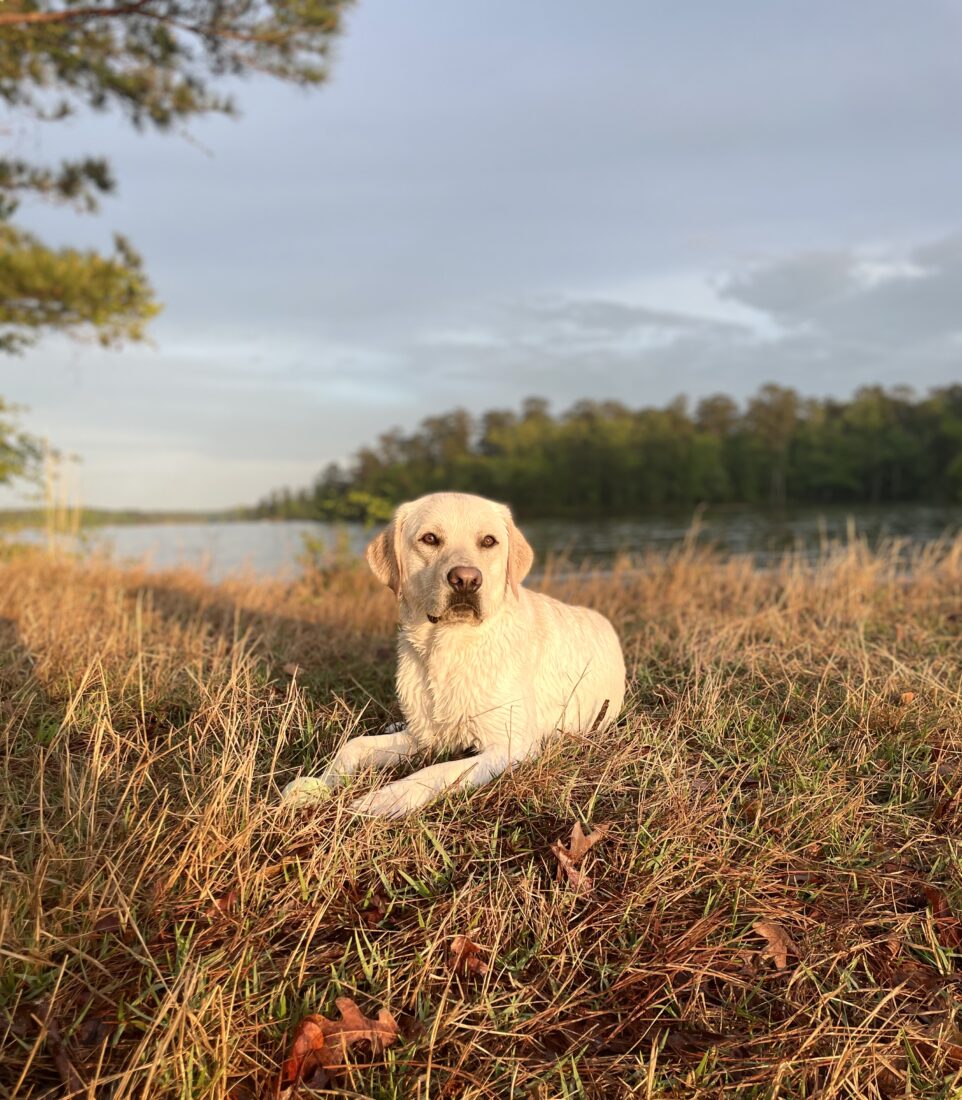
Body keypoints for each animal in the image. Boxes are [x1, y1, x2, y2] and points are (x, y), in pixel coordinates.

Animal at [280, 490, 624, 818]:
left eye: (489, 541)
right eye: (430, 538)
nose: (466, 580)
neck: (449, 646)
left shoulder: (511, 745)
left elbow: (437, 770)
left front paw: (386, 799)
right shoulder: (425, 736)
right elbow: (353, 746)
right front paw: (315, 785)